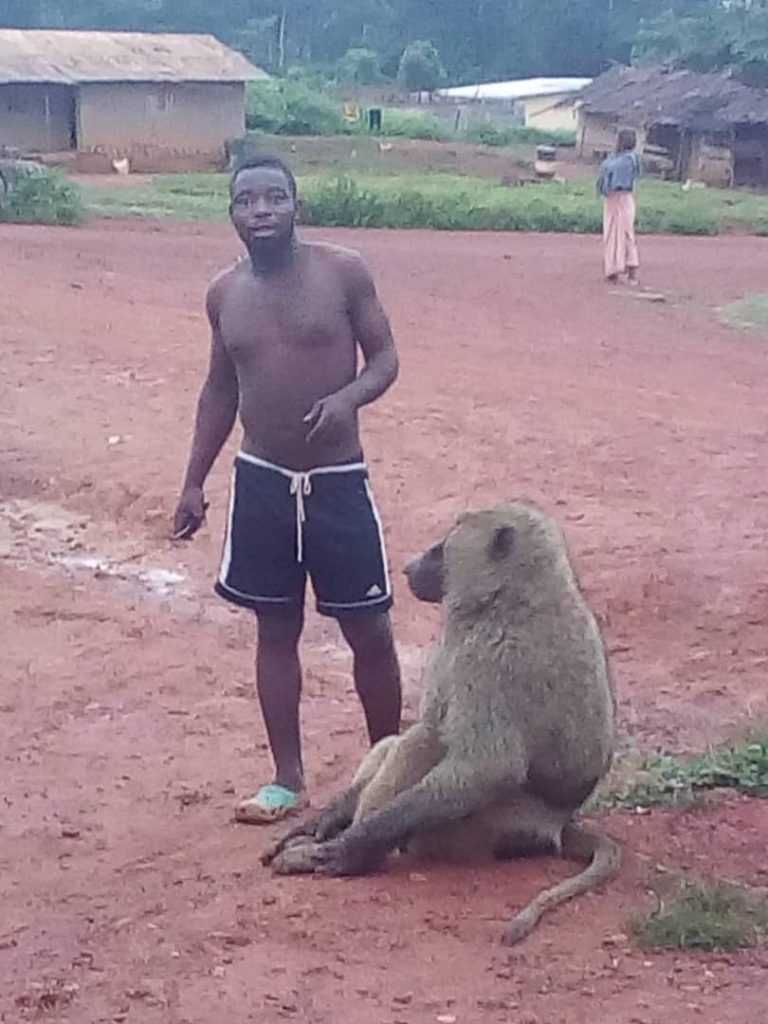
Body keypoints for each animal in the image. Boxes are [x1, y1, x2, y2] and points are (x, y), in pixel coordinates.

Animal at [262, 500, 620, 945]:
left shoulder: (488, 658)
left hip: (490, 828)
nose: (409, 567)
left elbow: (487, 768)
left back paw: (347, 857)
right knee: (405, 739)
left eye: (441, 548)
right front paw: (325, 823)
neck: (514, 595)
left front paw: (349, 849)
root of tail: (560, 823)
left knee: (424, 743)